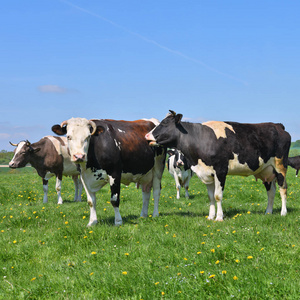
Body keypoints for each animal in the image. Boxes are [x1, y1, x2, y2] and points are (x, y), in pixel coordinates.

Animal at [146, 110, 292, 220]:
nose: (147, 135)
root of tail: (277, 125)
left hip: (280, 167)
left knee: (283, 188)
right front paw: (211, 216)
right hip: (266, 170)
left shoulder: (220, 171)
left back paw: (283, 212)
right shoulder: (207, 173)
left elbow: (217, 196)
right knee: (271, 191)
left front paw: (219, 217)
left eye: (164, 123)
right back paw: (268, 212)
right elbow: (211, 197)